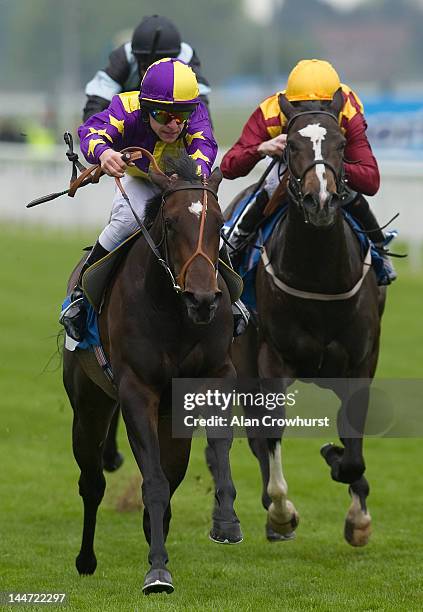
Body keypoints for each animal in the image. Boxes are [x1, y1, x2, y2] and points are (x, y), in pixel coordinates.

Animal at [62, 155, 242, 596]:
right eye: (172, 222)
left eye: (218, 225)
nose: (203, 299)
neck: (175, 313)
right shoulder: (136, 391)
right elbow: (155, 483)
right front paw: (158, 570)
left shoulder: (215, 376)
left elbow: (215, 450)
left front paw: (226, 522)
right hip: (89, 404)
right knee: (92, 482)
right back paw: (86, 559)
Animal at [230, 93, 386, 548]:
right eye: (292, 146)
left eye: (341, 144)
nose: (322, 202)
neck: (319, 276)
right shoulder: (272, 358)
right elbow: (272, 431)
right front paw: (282, 512)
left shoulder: (361, 361)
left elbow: (353, 447)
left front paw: (357, 514)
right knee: (257, 434)